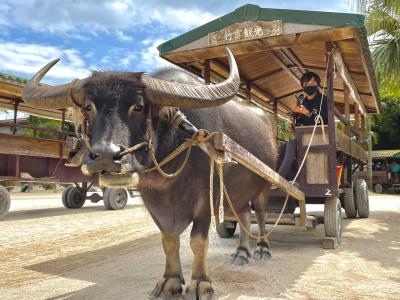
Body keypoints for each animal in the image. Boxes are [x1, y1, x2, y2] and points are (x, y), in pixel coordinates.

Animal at [21, 49, 276, 298]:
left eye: (138, 106)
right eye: (89, 107)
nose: (105, 156)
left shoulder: (205, 198)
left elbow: (197, 241)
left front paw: (200, 284)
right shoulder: (153, 200)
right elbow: (169, 239)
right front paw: (170, 282)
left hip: (263, 187)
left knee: (261, 216)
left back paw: (262, 250)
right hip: (237, 193)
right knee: (244, 216)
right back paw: (241, 254)